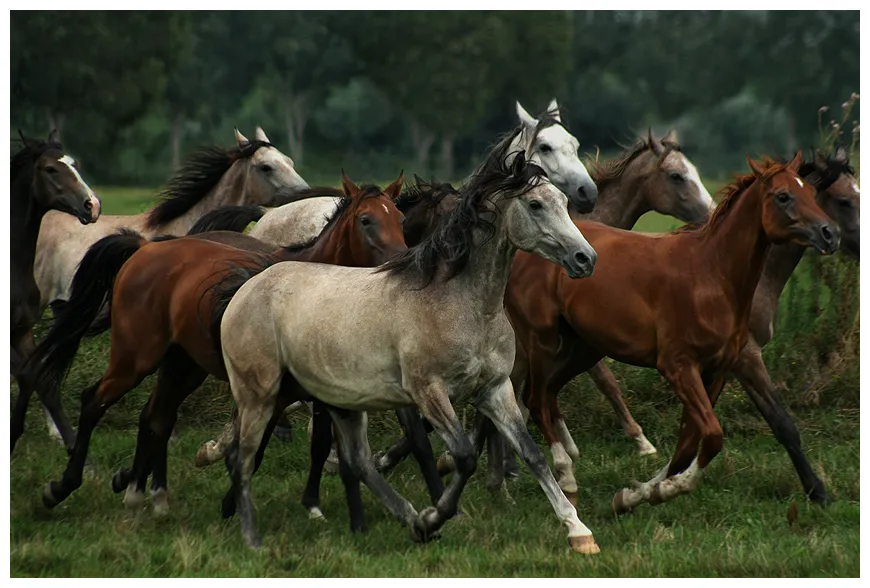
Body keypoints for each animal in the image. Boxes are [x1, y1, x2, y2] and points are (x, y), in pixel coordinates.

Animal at [10, 130, 101, 453]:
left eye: (74, 164)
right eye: (50, 169)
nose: (92, 205)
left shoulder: (22, 331)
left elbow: (39, 380)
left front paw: (74, 444)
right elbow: (27, 375)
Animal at [30, 173, 410, 515]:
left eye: (401, 219)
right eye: (366, 220)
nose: (399, 262)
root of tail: (144, 249)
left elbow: (279, 447)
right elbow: (256, 447)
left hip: (183, 366)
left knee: (157, 417)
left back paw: (145, 494)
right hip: (134, 358)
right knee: (94, 401)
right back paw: (63, 487)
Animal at [212, 144, 602, 553]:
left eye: (563, 201)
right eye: (535, 204)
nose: (585, 259)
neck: (461, 302)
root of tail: (245, 289)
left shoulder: (495, 390)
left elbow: (532, 454)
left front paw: (578, 531)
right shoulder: (428, 392)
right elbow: (463, 456)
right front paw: (437, 516)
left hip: (336, 401)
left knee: (358, 461)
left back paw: (407, 518)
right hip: (260, 395)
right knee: (242, 456)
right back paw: (252, 537)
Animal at [497, 152, 839, 514]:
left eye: (811, 194)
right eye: (783, 196)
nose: (830, 233)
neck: (711, 275)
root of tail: (525, 251)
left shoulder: (716, 372)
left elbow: (688, 445)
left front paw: (637, 494)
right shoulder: (678, 367)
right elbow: (712, 436)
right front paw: (667, 488)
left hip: (583, 349)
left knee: (546, 395)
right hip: (542, 341)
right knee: (534, 399)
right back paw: (563, 474)